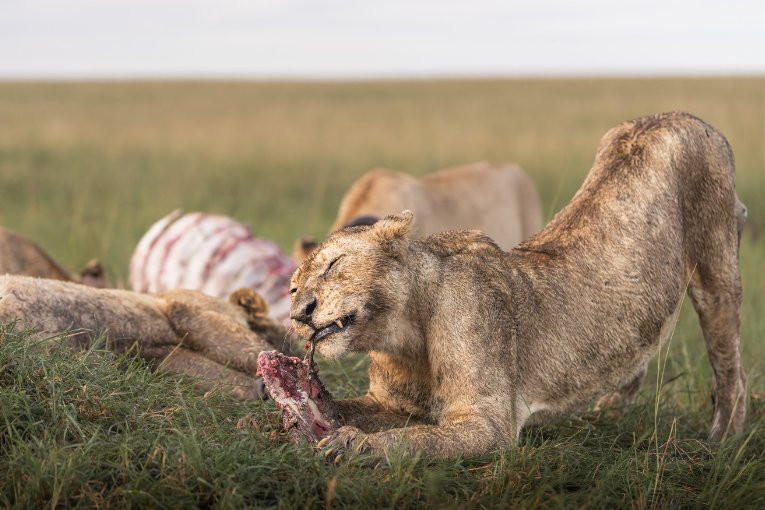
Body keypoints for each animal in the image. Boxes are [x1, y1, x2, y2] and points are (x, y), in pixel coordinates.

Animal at [288, 112, 748, 462]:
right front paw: (290, 413)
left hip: (716, 268)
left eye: (334, 265)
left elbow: (414, 439)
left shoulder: (489, 424)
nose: (299, 313)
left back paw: (723, 440)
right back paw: (608, 414)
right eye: (292, 287)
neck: (401, 332)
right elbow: (349, 408)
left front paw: (355, 445)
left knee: (730, 365)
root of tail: (677, 116)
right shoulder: (390, 404)